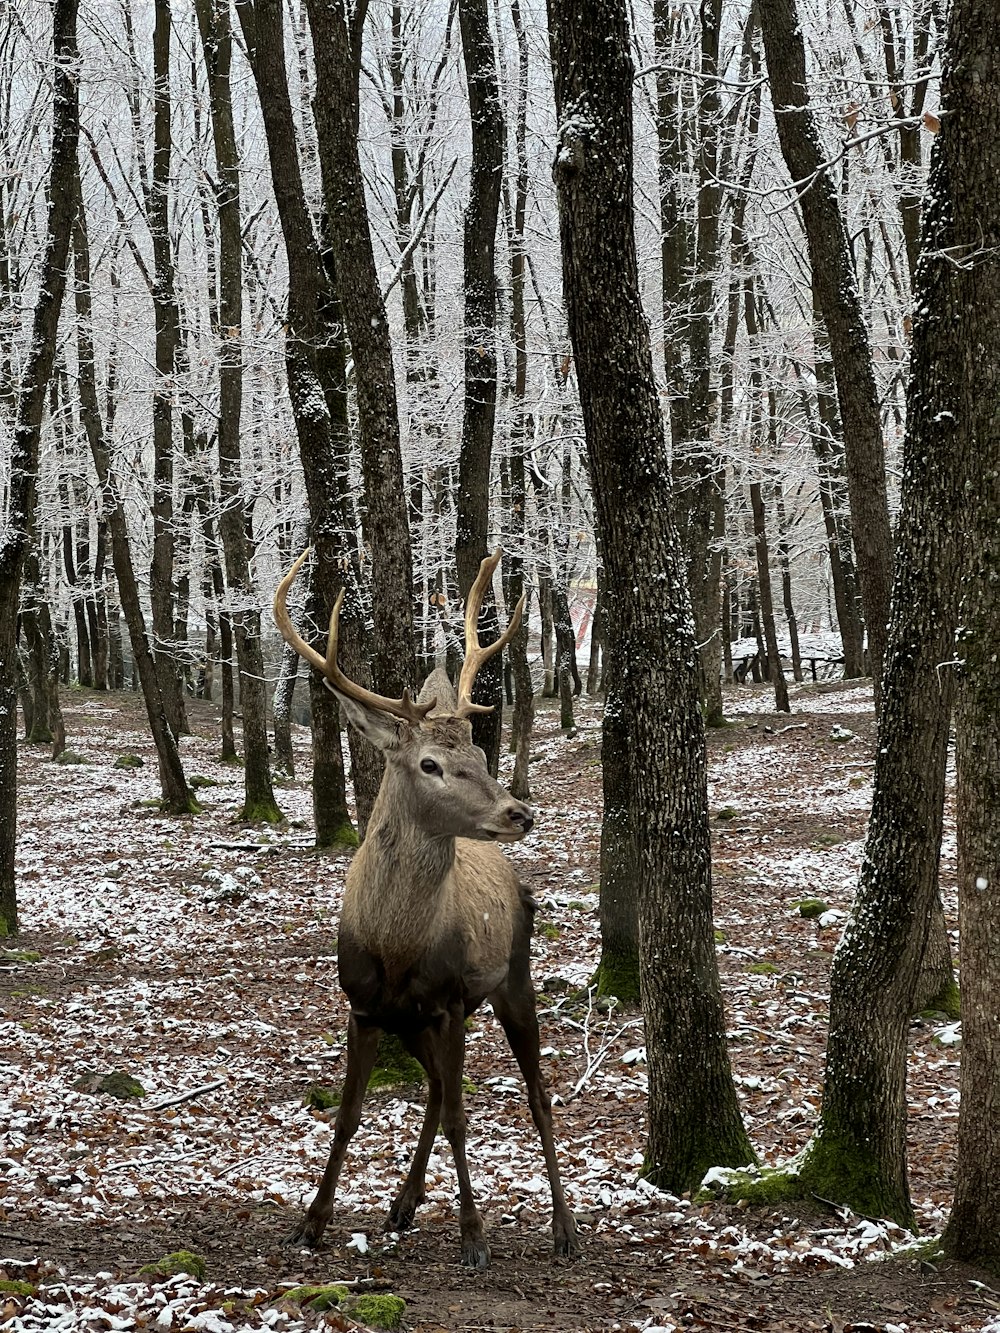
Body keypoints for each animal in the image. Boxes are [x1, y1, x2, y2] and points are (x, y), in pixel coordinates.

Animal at [274, 549, 578, 1269]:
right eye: (431, 763)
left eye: (481, 751)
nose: (518, 811)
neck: (395, 944)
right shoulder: (364, 1005)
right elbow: (350, 1114)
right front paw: (311, 1221)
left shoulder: (446, 998)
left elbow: (466, 1114)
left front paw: (473, 1236)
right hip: (419, 1020)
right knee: (437, 1092)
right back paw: (403, 1203)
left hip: (509, 979)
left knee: (535, 1094)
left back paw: (564, 1228)